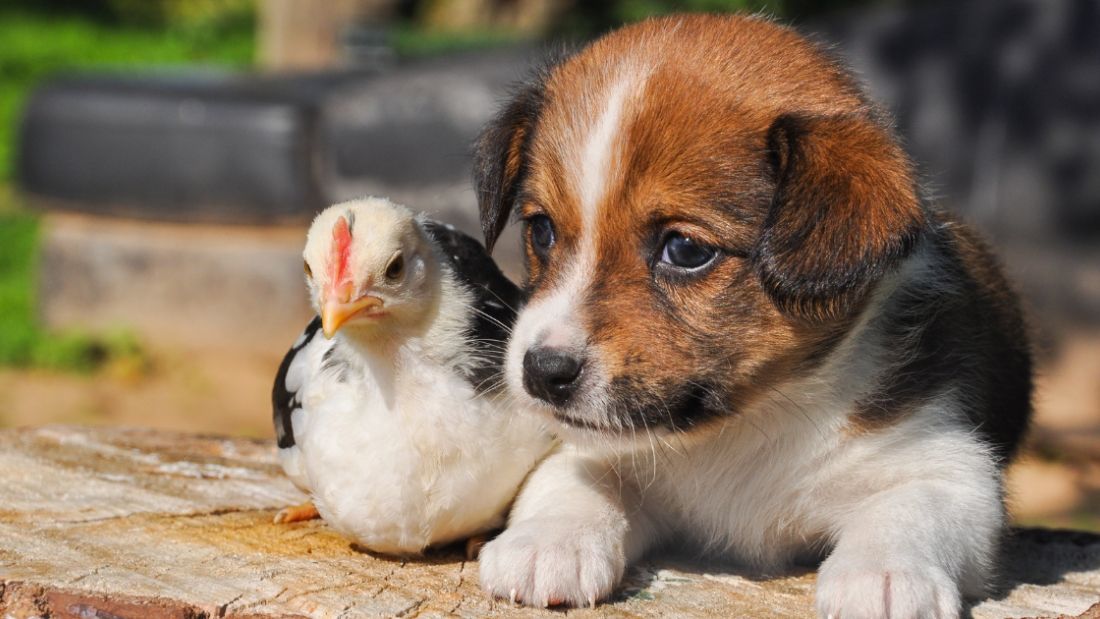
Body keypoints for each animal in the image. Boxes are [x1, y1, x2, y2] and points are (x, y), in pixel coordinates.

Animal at [470, 10, 1029, 619]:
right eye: (541, 231)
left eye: (685, 249)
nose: (541, 373)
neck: (743, 423)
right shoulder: (587, 448)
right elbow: (572, 479)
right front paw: (547, 541)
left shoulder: (948, 464)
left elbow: (911, 508)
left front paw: (884, 575)